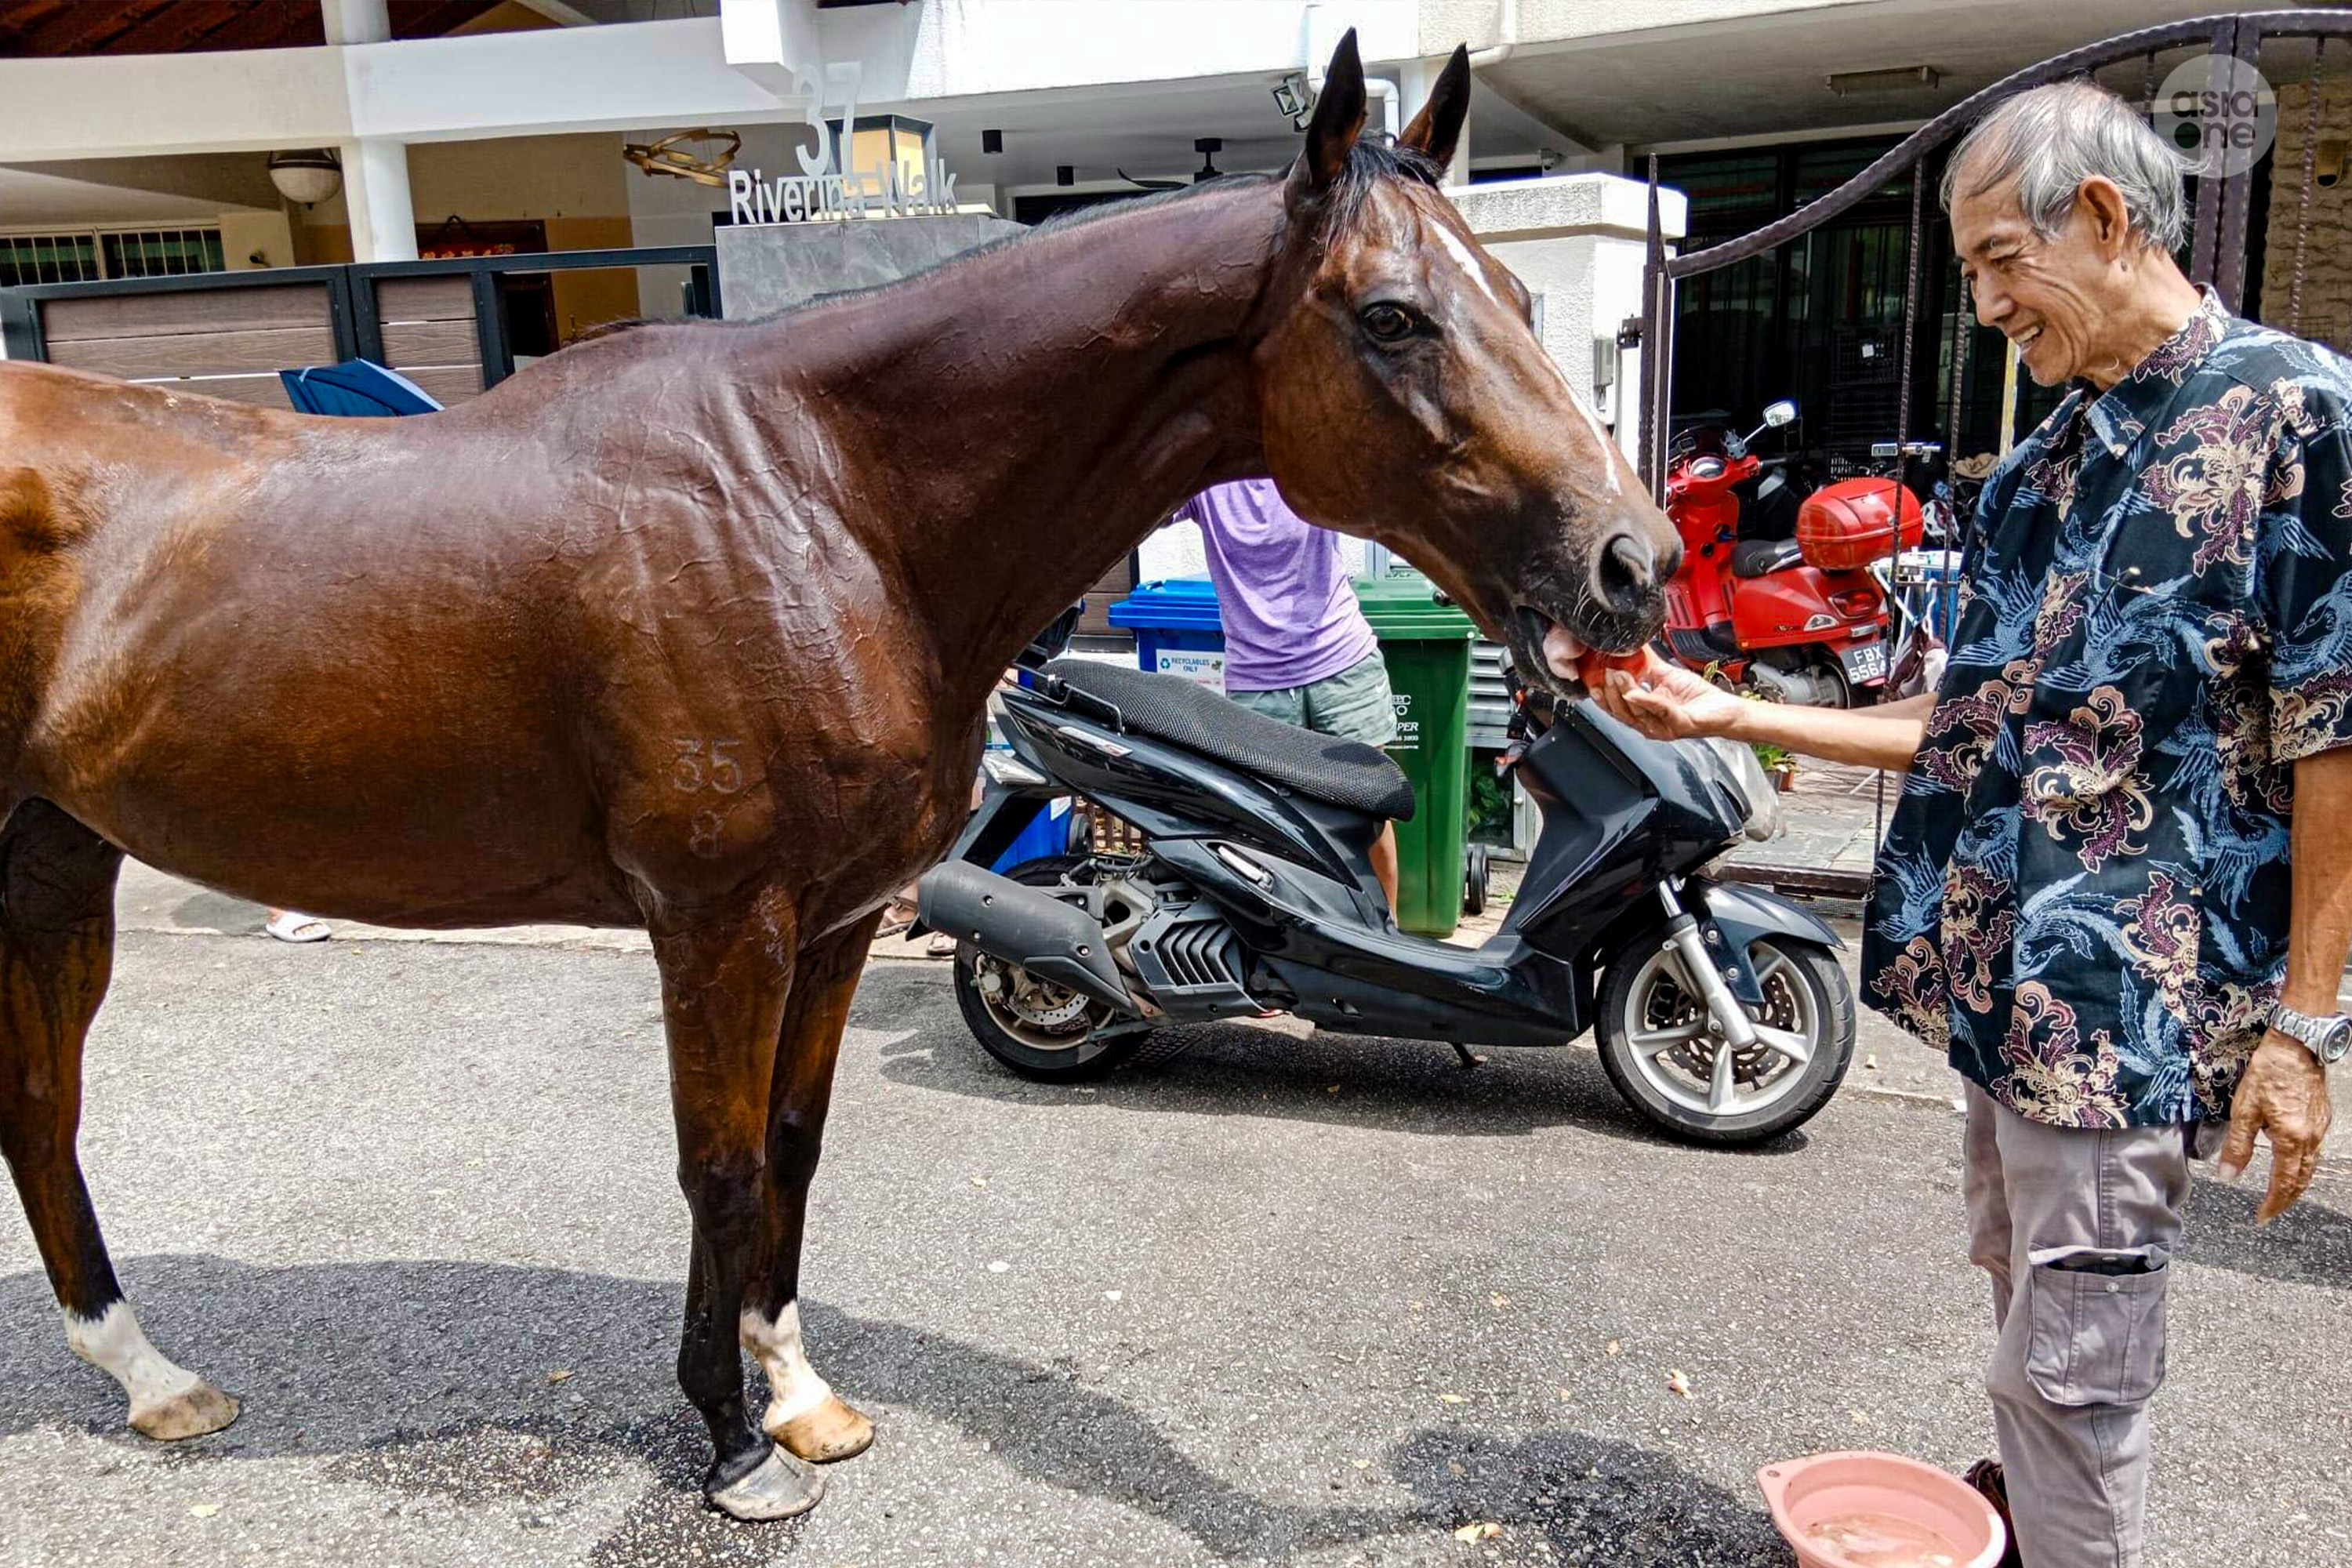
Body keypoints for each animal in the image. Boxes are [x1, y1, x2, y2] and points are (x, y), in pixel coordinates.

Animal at [0, 34, 1676, 1521]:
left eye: (1520, 294)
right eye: (1392, 316)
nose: (1634, 563)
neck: (823, 499)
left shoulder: (836, 919)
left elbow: (792, 1155)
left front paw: (795, 1397)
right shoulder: (716, 923)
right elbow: (724, 1164)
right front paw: (734, 1445)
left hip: (57, 857)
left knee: (42, 1106)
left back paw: (153, 1379)